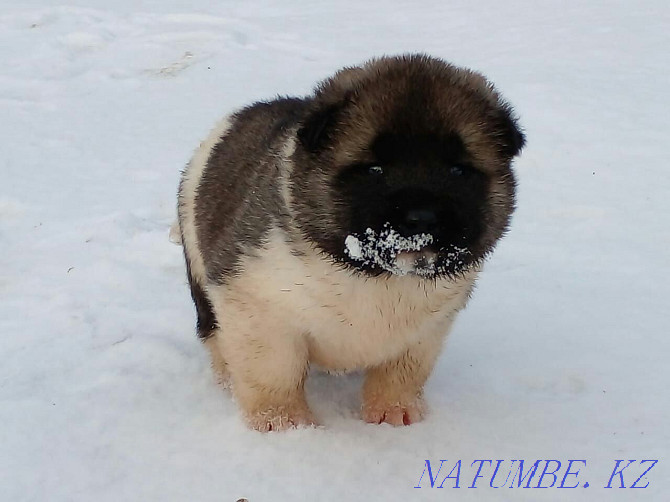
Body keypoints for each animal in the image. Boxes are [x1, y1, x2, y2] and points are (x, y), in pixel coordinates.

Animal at [177, 55, 524, 432]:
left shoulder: (427, 328)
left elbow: (402, 372)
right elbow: (275, 372)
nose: (421, 218)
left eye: (458, 171)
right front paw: (284, 423)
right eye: (374, 169)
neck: (376, 275)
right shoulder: (256, 305)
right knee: (213, 332)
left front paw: (393, 412)